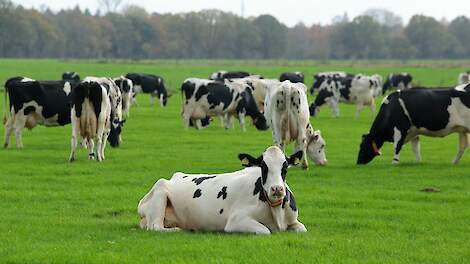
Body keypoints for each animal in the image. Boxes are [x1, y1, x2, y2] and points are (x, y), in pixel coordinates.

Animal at [136, 145, 306, 234]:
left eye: (285, 167)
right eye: (263, 167)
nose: (277, 189)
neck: (277, 213)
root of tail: (174, 177)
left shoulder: (294, 221)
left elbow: (302, 228)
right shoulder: (236, 221)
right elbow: (265, 231)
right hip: (160, 191)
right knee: (156, 227)